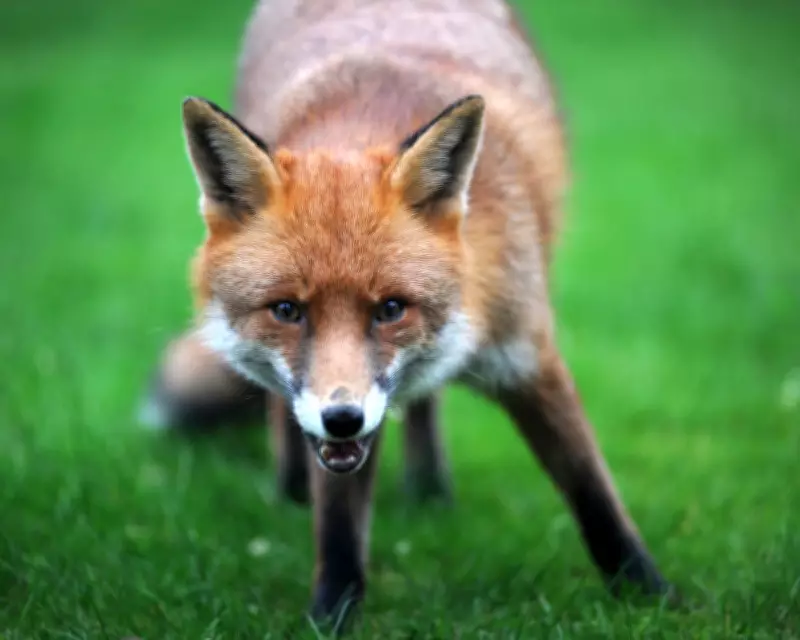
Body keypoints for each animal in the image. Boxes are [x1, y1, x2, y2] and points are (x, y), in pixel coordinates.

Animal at [140, 0, 672, 630]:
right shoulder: (338, 437)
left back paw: (429, 489)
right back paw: (292, 490)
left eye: (391, 309)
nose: (342, 418)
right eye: (287, 310)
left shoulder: (527, 354)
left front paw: (654, 594)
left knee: (425, 408)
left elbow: (591, 489)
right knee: (287, 421)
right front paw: (330, 618)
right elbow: (339, 528)